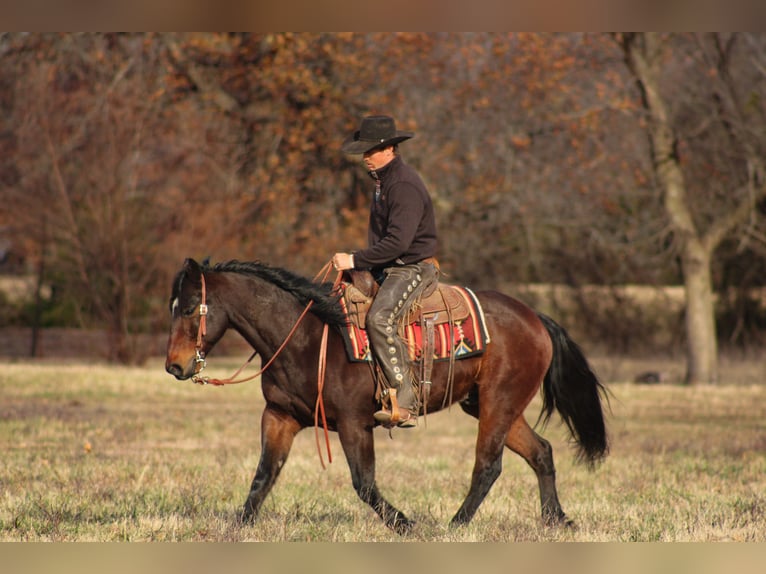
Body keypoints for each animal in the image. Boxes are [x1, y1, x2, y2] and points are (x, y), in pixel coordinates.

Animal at [164, 257, 609, 534]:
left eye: (189, 308)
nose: (175, 366)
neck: (305, 336)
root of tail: (535, 318)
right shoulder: (279, 417)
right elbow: (263, 477)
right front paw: (236, 527)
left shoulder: (353, 423)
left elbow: (364, 483)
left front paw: (405, 524)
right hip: (491, 405)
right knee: (541, 452)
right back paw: (555, 519)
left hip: (499, 404)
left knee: (488, 465)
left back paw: (455, 525)